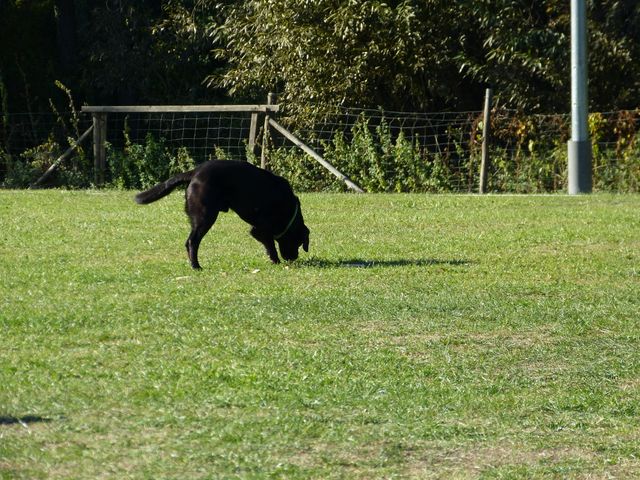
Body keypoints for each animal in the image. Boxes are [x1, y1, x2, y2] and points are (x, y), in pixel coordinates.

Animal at [134, 160, 310, 269]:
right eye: (298, 243)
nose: (293, 258)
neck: (289, 212)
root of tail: (195, 172)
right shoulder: (260, 229)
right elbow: (270, 245)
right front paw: (276, 261)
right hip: (205, 216)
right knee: (192, 241)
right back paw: (196, 266)